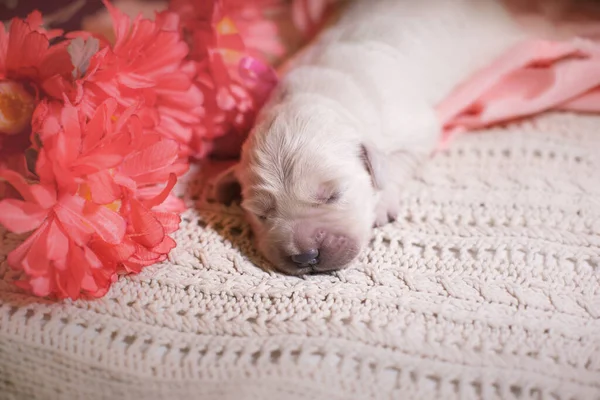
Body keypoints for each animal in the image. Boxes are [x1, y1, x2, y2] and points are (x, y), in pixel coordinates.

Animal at [211, 0, 528, 276]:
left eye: (333, 196)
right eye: (261, 214)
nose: (305, 257)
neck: (314, 93)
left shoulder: (416, 126)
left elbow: (397, 162)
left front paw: (383, 200)